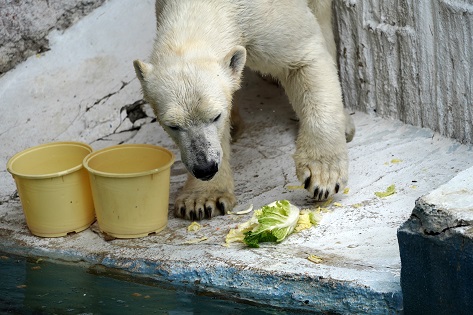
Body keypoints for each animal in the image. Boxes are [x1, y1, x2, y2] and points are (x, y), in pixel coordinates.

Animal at [135, 0, 352, 221]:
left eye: (216, 116)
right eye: (172, 125)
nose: (205, 169)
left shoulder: (271, 17)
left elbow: (303, 59)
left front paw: (322, 174)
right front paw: (201, 200)